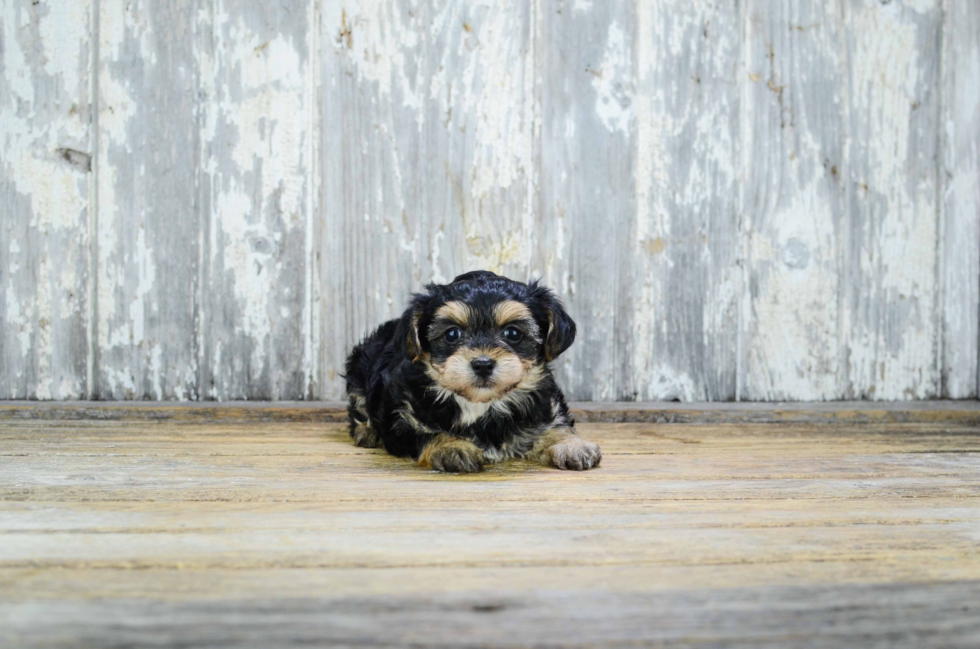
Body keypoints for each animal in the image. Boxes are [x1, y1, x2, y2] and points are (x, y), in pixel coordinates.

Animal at [344, 268, 604, 470]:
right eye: (452, 334)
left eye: (513, 333)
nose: (483, 363)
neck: (481, 404)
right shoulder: (400, 416)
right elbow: (424, 433)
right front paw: (451, 446)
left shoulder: (546, 404)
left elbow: (556, 424)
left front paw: (571, 445)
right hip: (359, 367)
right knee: (359, 405)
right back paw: (366, 433)